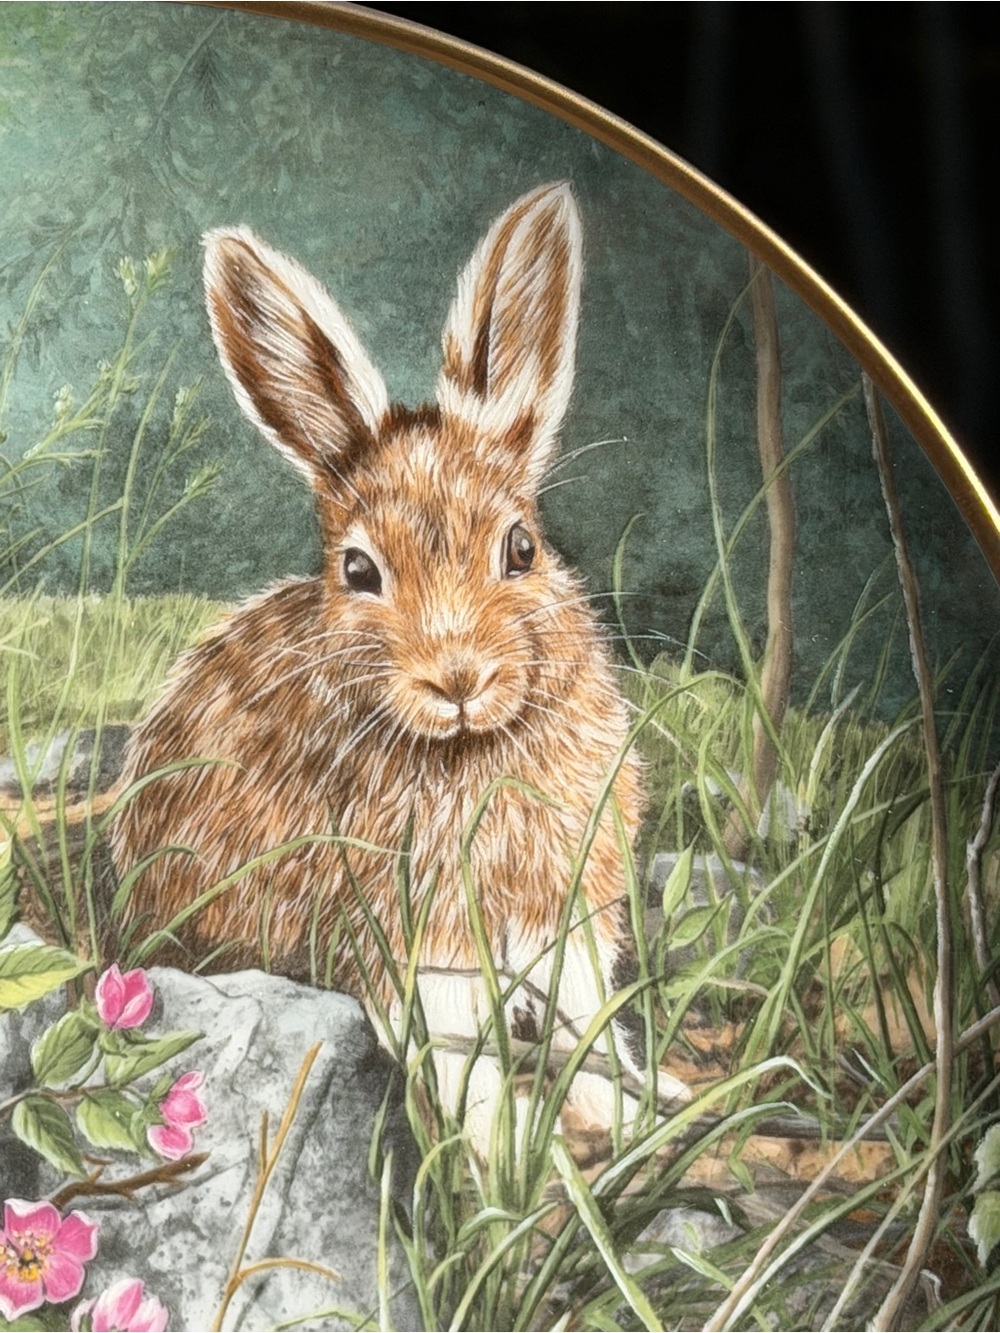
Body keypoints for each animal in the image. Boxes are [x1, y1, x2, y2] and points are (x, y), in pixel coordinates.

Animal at [111, 182, 687, 1148]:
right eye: (357, 570)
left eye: (521, 547)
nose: (456, 679)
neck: (471, 751)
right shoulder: (413, 946)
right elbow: (459, 1064)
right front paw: (503, 1150)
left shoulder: (566, 925)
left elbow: (587, 1024)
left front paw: (635, 1111)